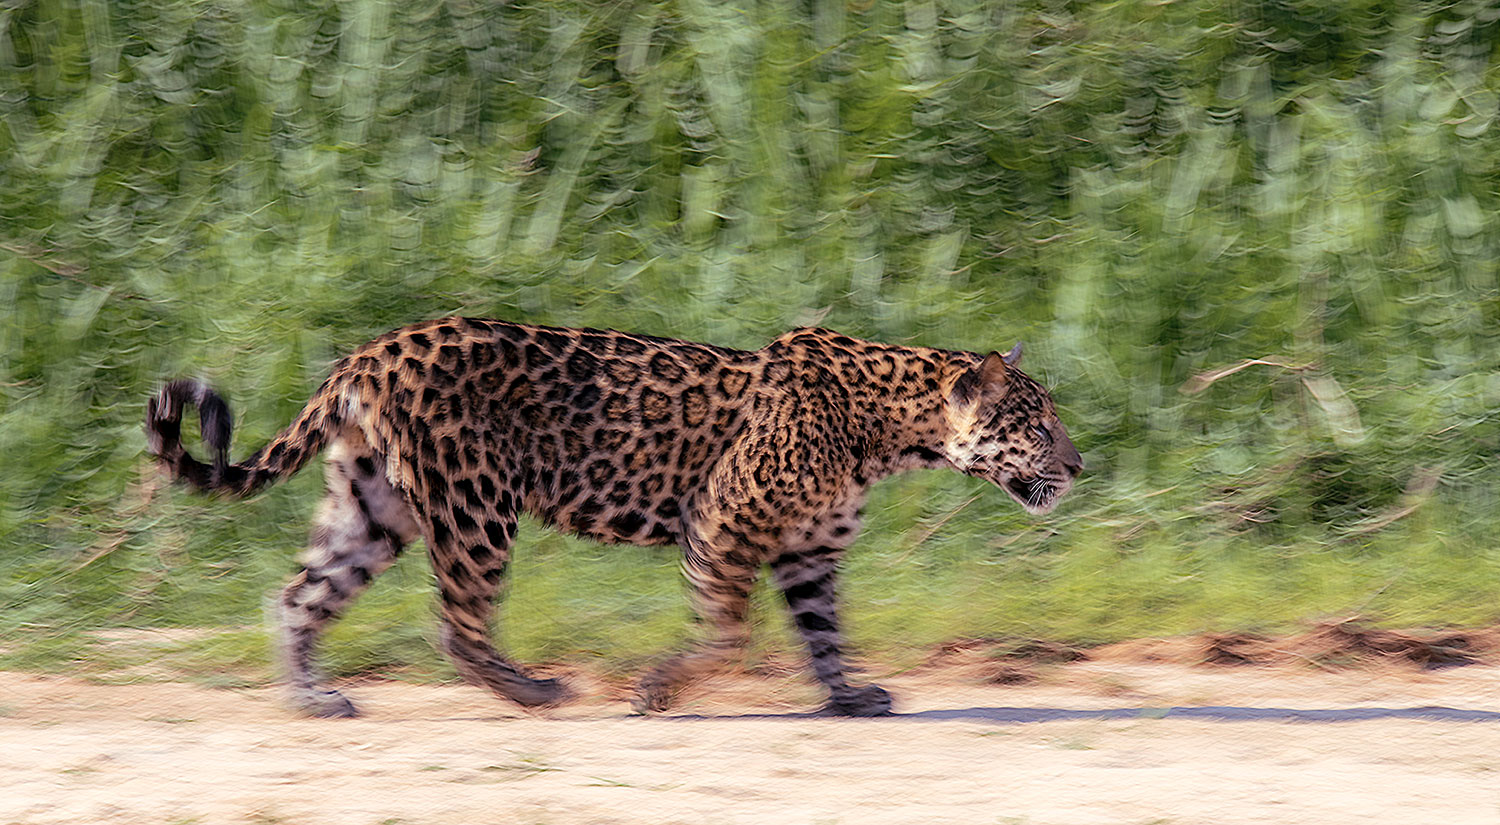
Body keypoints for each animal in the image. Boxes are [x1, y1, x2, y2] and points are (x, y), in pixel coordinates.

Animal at [146, 317, 1082, 718]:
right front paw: (657, 690)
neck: (893, 429)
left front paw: (848, 694)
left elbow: (823, 632)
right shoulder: (723, 519)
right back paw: (534, 691)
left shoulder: (809, 553)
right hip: (475, 505)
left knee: (297, 596)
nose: (1078, 467)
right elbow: (726, 633)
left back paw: (312, 698)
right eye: (1038, 425)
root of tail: (368, 352)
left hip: (373, 507)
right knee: (456, 624)